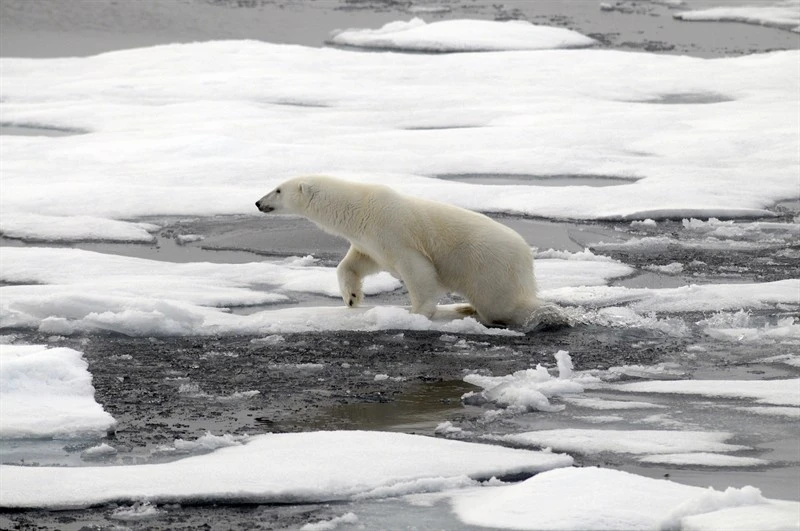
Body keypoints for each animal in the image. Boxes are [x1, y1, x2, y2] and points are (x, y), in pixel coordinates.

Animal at [256, 178, 552, 328]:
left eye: (278, 190)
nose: (258, 202)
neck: (359, 207)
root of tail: (526, 257)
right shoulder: (369, 239)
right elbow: (357, 263)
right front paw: (351, 297)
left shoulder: (393, 230)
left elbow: (417, 269)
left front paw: (417, 312)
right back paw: (466, 306)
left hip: (489, 267)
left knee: (501, 303)